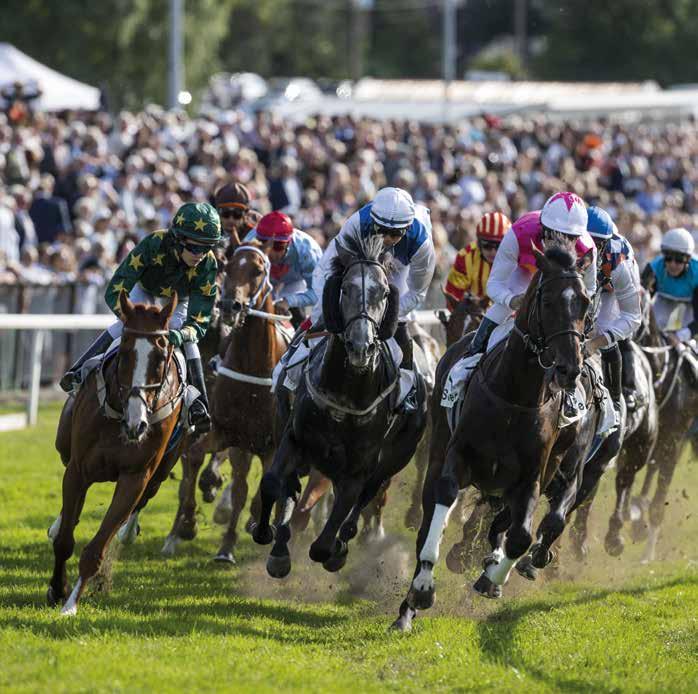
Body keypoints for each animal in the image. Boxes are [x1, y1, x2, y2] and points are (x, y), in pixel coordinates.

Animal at [49, 292, 185, 616]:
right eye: (124, 352)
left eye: (160, 357)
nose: (138, 424)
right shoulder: (78, 469)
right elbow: (64, 541)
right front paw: (57, 590)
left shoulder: (135, 478)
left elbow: (97, 548)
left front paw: (71, 604)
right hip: (64, 446)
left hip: (160, 473)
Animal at [163, 239, 288, 564]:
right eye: (228, 266)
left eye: (258, 270)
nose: (231, 306)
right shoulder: (224, 431)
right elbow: (195, 461)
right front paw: (191, 525)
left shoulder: (268, 444)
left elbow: (258, 490)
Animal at [247, 237, 426, 580]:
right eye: (346, 288)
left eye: (384, 293)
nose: (360, 346)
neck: (345, 399)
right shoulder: (294, 439)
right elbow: (273, 482)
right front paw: (267, 536)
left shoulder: (358, 468)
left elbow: (330, 531)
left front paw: (333, 550)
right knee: (291, 488)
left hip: (396, 457)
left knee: (367, 496)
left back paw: (342, 543)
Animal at [392, 247, 592, 632]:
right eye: (547, 301)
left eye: (586, 303)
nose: (569, 368)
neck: (514, 396)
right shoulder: (457, 458)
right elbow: (441, 506)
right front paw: (423, 588)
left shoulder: (532, 477)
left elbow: (521, 536)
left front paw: (492, 579)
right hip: (438, 450)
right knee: (427, 522)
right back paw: (406, 610)